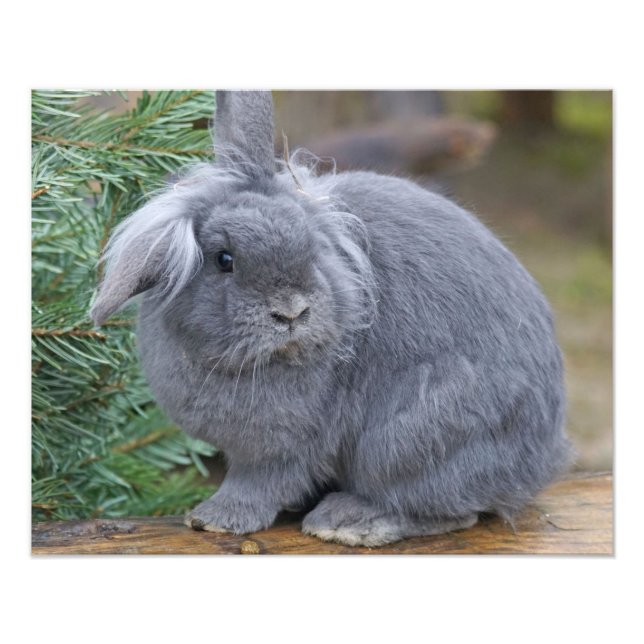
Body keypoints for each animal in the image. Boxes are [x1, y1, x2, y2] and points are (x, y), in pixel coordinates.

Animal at [90, 90, 572, 547]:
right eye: (224, 259)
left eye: (311, 247)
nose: (292, 311)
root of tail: (540, 459)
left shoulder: (281, 448)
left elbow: (259, 484)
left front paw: (214, 519)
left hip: (409, 440)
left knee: (448, 511)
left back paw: (349, 522)